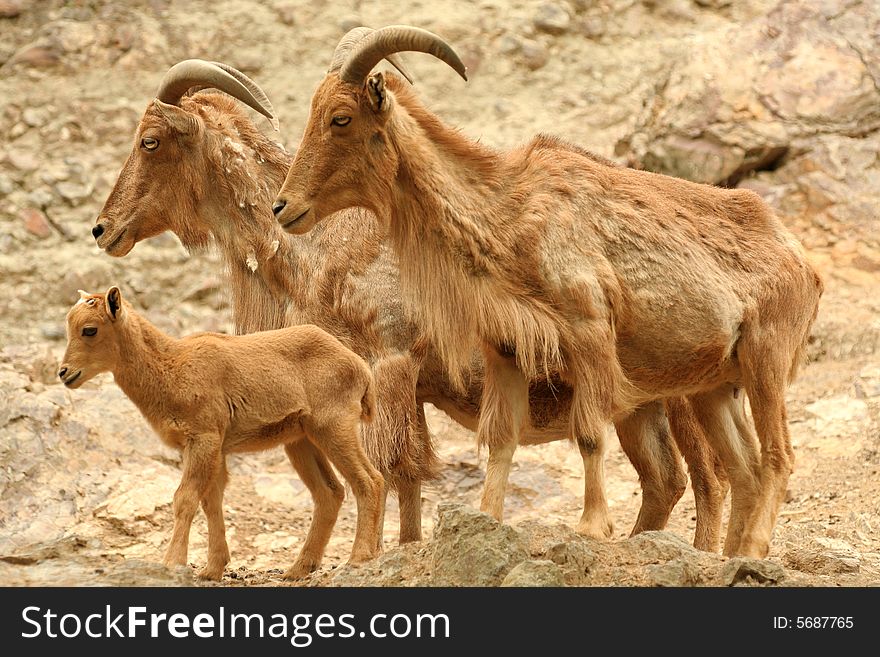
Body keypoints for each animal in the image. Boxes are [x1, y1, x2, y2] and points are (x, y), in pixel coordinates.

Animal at [57, 288, 382, 580]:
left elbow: (185, 498)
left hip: (334, 426)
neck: (171, 369)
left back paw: (358, 557)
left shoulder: (204, 438)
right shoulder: (212, 448)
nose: (64, 373)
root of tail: (361, 370)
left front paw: (173, 563)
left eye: (89, 330)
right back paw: (298, 569)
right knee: (330, 493)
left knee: (369, 480)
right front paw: (211, 570)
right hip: (300, 440)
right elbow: (210, 501)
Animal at [93, 59, 728, 552]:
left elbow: (394, 467)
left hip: (681, 393)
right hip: (640, 405)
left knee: (708, 481)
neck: (318, 250)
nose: (103, 228)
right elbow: (408, 474)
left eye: (150, 141)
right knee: (666, 481)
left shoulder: (390, 362)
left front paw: (380, 552)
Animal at [272, 26, 820, 560]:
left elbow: (589, 433)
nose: (282, 207)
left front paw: (592, 526)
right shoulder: (508, 351)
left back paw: (753, 549)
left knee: (778, 457)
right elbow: (500, 438)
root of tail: (801, 259)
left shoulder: (590, 332)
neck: (506, 214)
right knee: (744, 469)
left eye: (340, 118)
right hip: (714, 387)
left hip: (766, 361)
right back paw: (731, 556)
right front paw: (486, 519)